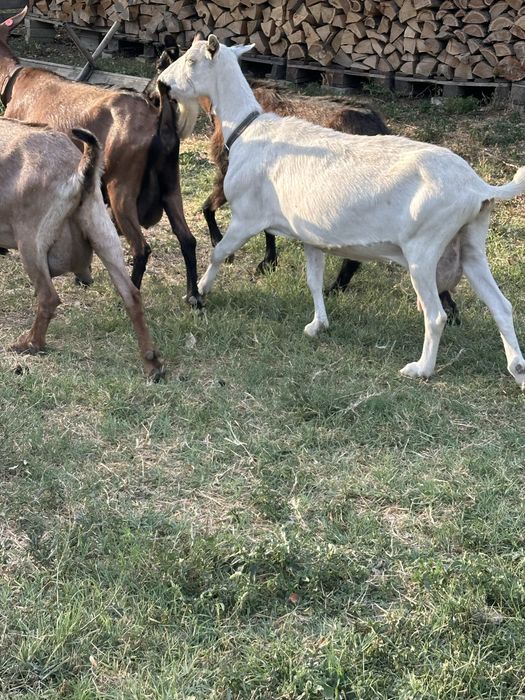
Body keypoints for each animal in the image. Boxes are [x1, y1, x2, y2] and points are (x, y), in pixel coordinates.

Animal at [0, 8, 203, 307]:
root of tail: (159, 116)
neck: (14, 80)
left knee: (141, 247)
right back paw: (194, 296)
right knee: (187, 239)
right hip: (170, 184)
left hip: (121, 188)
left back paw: (129, 296)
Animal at [0, 118, 164, 380]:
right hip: (103, 231)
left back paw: (30, 343)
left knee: (48, 298)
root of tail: (77, 168)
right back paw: (152, 363)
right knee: (132, 295)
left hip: (31, 241)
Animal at [158, 35, 525, 389]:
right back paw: (518, 370)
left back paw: (421, 369)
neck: (248, 129)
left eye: (192, 60)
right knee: (501, 306)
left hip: (424, 249)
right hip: (470, 244)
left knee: (436, 315)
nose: (163, 82)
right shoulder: (310, 236)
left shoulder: (247, 216)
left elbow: (219, 252)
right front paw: (317, 324)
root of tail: (478, 188)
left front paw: (200, 291)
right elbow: (313, 280)